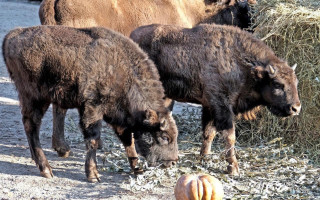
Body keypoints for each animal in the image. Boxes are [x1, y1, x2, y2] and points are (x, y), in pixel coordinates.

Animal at [1, 25, 179, 182]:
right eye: (164, 137)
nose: (172, 162)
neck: (123, 72)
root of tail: (11, 36)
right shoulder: (92, 108)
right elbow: (93, 139)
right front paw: (93, 175)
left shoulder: (117, 116)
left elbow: (128, 140)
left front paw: (137, 169)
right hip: (35, 99)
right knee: (31, 126)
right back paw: (46, 169)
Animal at [130, 23, 300, 175]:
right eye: (277, 84)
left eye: (296, 82)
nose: (296, 108)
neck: (241, 64)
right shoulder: (221, 106)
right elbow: (229, 136)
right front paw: (233, 168)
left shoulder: (209, 107)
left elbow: (208, 133)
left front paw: (203, 159)